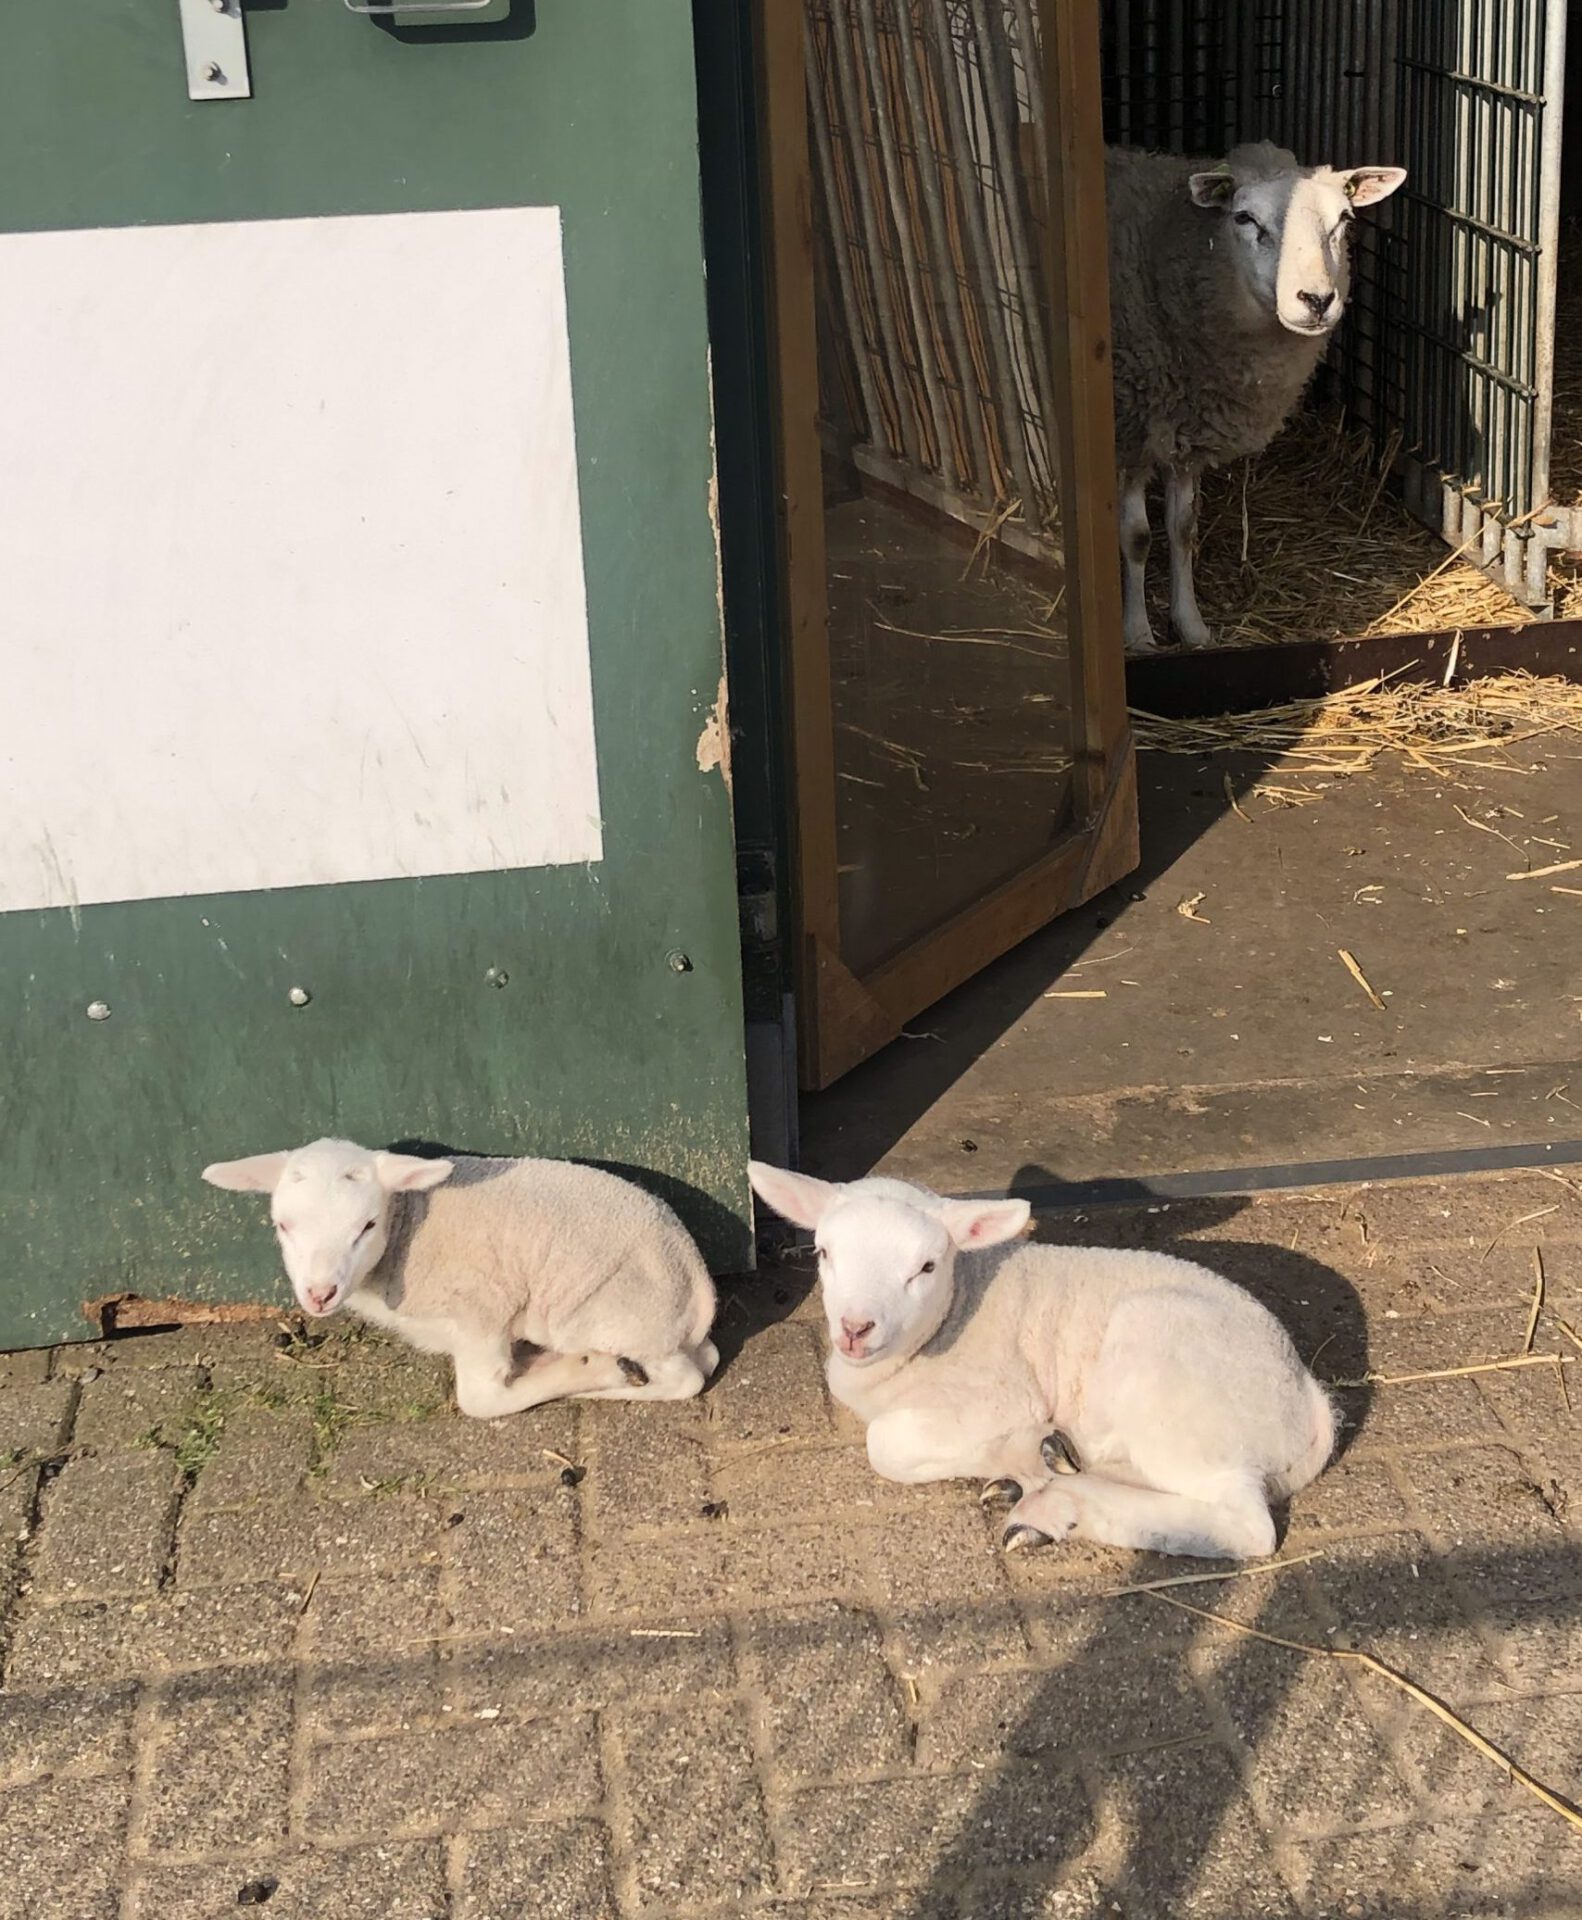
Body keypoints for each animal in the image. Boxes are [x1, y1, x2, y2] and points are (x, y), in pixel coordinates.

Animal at [202, 1136, 718, 1428]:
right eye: (283, 1225)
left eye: (367, 1225)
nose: (319, 1294)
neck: (408, 1225)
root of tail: (699, 1287)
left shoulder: (482, 1308)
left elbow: (480, 1400)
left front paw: (585, 1370)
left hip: (612, 1314)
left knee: (686, 1380)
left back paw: (600, 1375)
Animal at [752, 1152, 1336, 1559]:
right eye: (824, 1253)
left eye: (926, 1267)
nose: (855, 1329)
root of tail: (1308, 1396)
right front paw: (1024, 1456)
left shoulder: (1000, 1394)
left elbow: (885, 1446)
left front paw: (1017, 1448)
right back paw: (1051, 1471)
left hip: (1174, 1386)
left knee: (1245, 1525)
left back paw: (1057, 1503)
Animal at [1105, 142, 1405, 652]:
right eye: (1244, 218)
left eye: (1344, 219)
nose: (1317, 300)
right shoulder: (1131, 433)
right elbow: (1136, 536)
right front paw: (1139, 635)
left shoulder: (1186, 431)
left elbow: (1182, 529)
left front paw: (1191, 626)